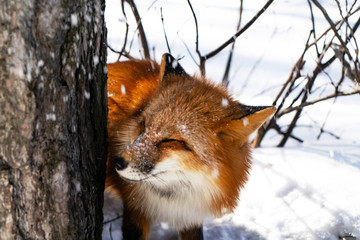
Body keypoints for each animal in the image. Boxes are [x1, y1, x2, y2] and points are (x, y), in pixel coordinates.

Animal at [105, 53, 276, 239]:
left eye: (171, 140)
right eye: (143, 125)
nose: (118, 162)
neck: (173, 196)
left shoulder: (190, 215)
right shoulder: (135, 208)